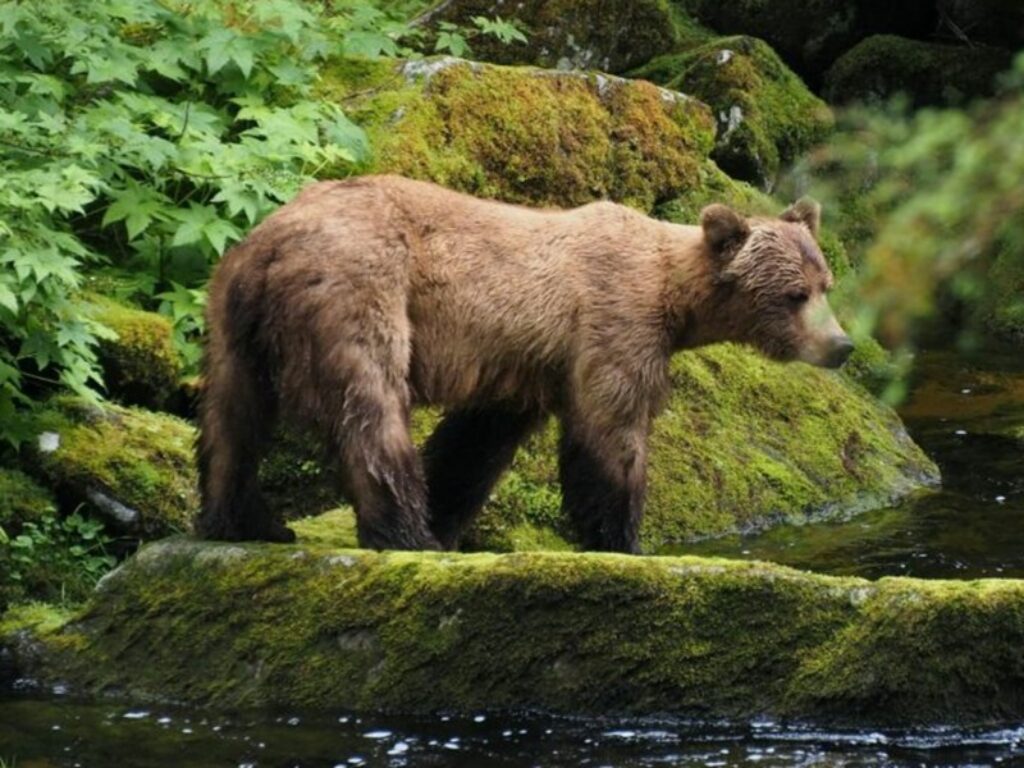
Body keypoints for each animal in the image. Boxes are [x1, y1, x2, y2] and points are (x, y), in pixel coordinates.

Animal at [195, 174, 852, 553]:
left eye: (826, 283)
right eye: (794, 294)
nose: (842, 345)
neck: (673, 296)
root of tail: (271, 243)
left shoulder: (524, 363)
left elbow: (474, 443)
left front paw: (450, 508)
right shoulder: (612, 325)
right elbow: (610, 432)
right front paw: (622, 539)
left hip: (233, 316)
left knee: (231, 418)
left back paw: (243, 520)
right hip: (360, 288)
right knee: (371, 407)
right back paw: (407, 534)